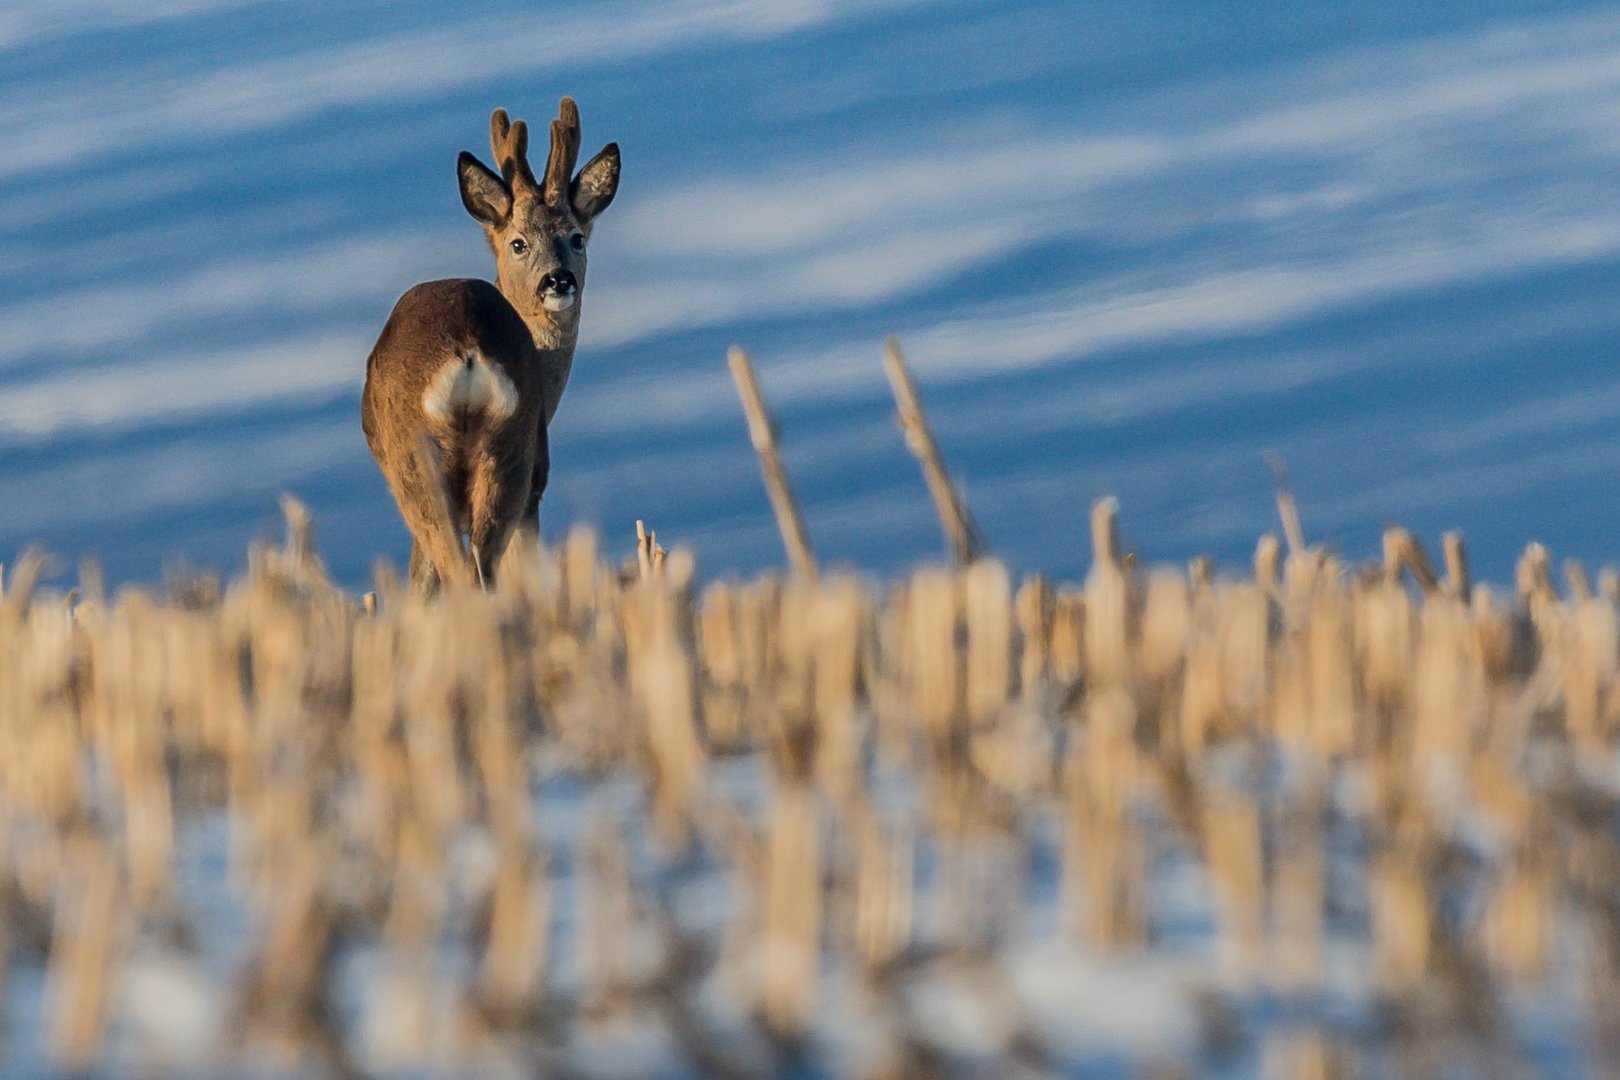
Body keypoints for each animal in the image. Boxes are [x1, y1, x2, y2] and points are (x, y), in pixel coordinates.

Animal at [361, 98, 618, 592]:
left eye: (576, 237)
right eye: (518, 243)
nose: (558, 279)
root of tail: (467, 353)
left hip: (435, 465)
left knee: (465, 572)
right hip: (504, 453)